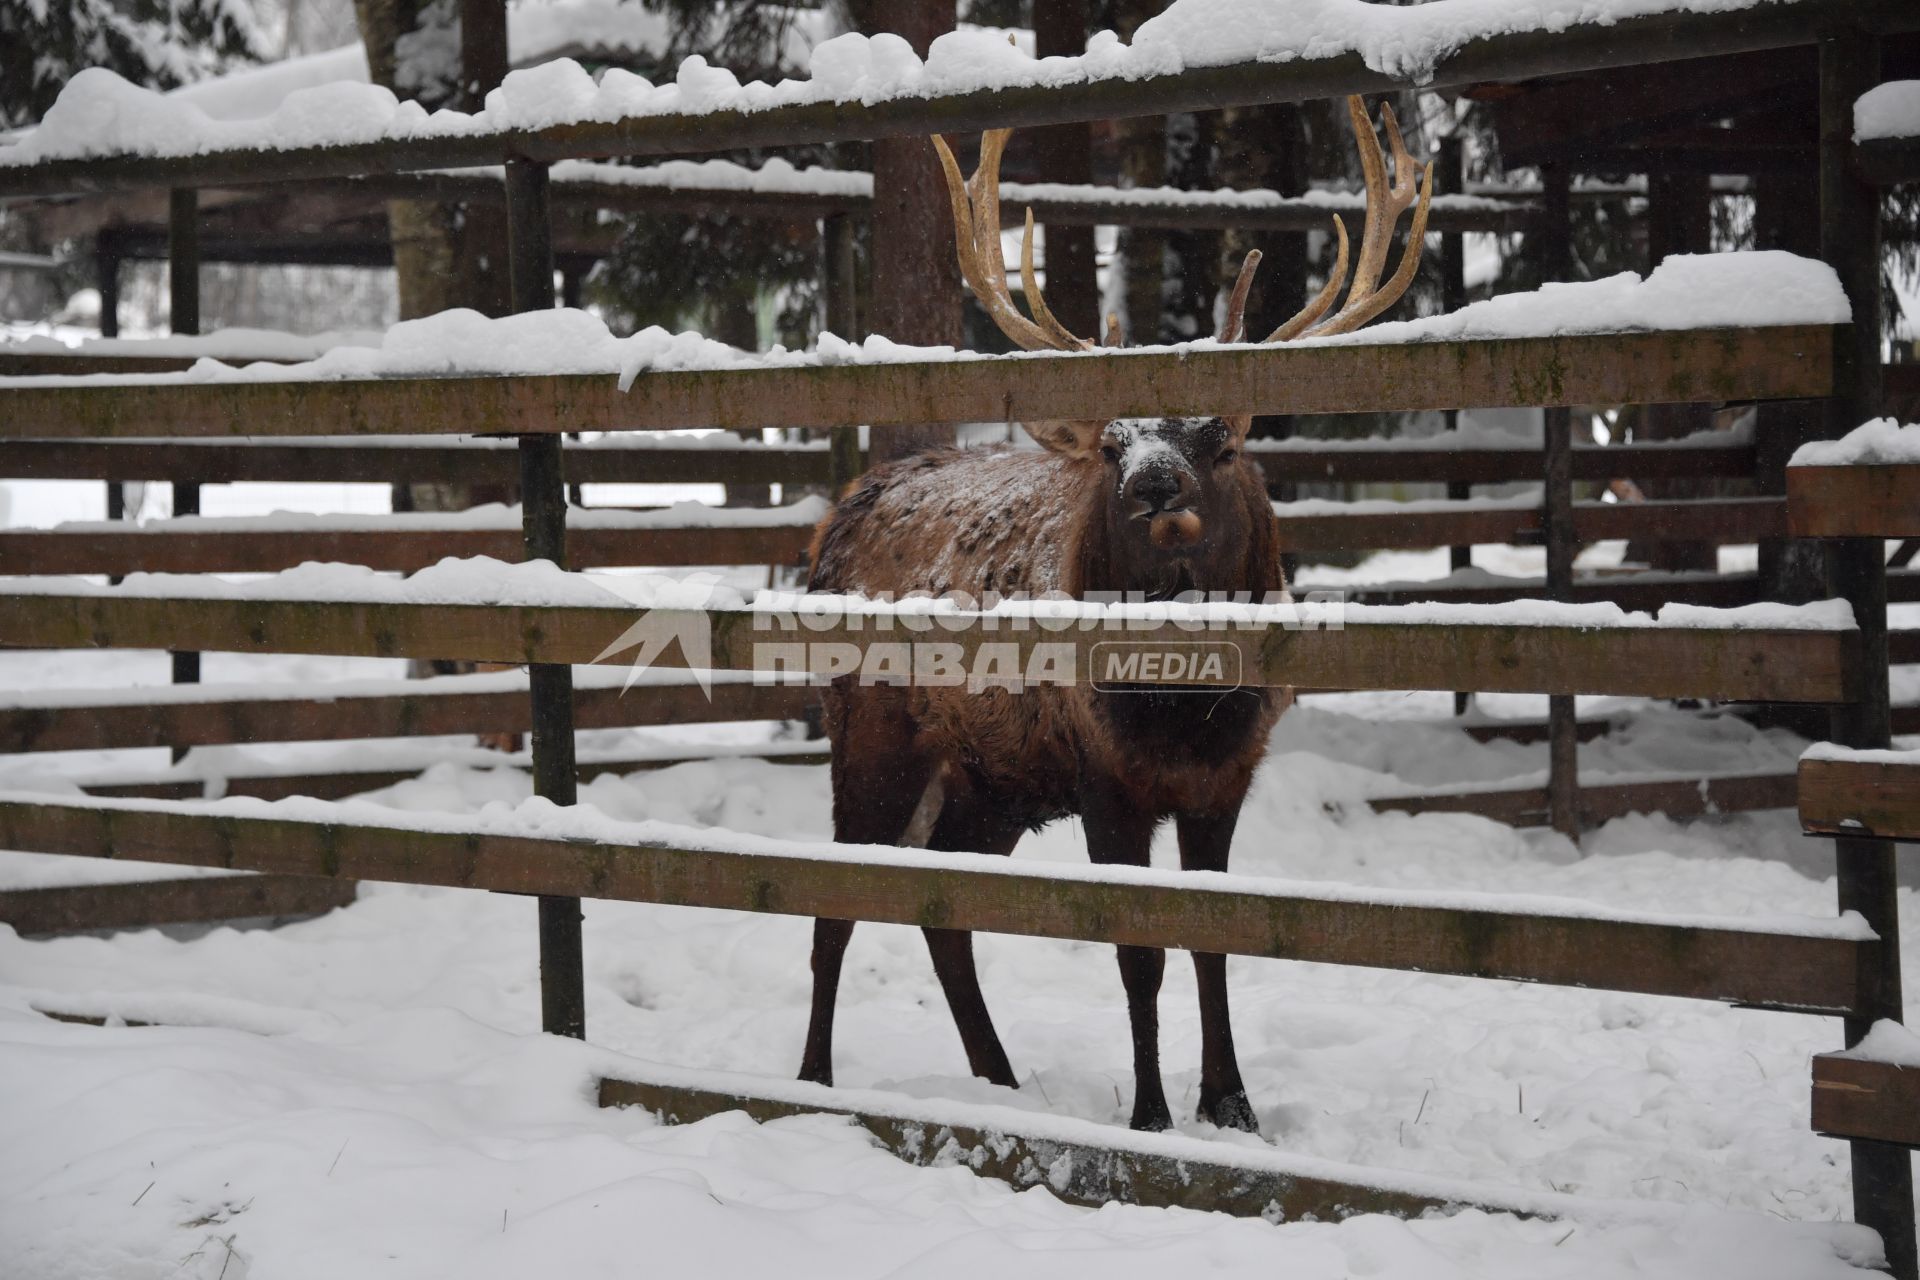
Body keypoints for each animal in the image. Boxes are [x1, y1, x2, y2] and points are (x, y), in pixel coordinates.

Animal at [791, 94, 1428, 1128]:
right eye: (1112, 442)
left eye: (1218, 438)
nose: (1151, 485)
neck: (1183, 711)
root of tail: (840, 516)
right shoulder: (1105, 779)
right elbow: (1138, 951)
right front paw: (1153, 1115)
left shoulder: (1226, 781)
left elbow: (1213, 938)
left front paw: (1232, 1104)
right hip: (871, 732)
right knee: (835, 901)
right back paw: (815, 1079)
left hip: (992, 777)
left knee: (944, 903)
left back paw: (999, 1079)